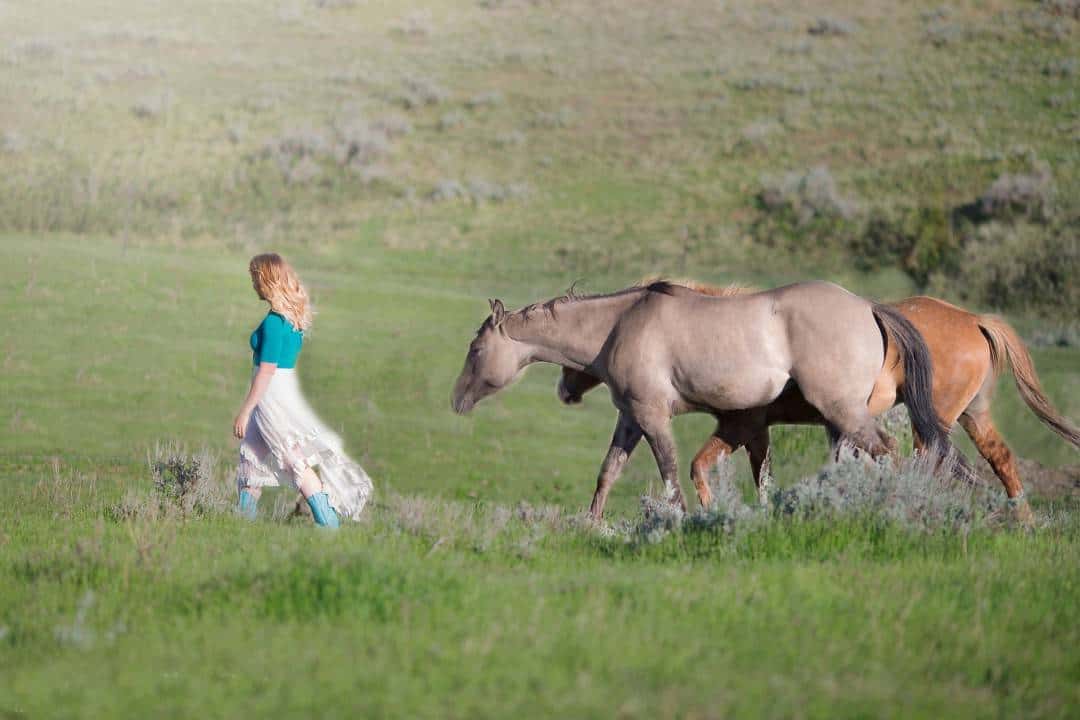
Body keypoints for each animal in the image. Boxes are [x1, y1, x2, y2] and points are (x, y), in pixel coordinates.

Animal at [451, 280, 950, 518]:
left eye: (475, 350)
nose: (457, 400)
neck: (621, 324)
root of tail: (868, 306)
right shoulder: (631, 417)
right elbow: (608, 472)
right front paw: (591, 523)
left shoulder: (653, 416)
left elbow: (671, 473)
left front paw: (681, 521)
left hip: (843, 412)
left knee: (889, 453)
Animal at [561, 287, 1075, 518]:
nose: (565, 389)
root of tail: (973, 319)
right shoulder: (755, 430)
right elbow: (756, 474)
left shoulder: (743, 425)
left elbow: (713, 467)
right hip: (970, 414)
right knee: (999, 459)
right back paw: (1022, 521)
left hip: (935, 420)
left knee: (932, 462)